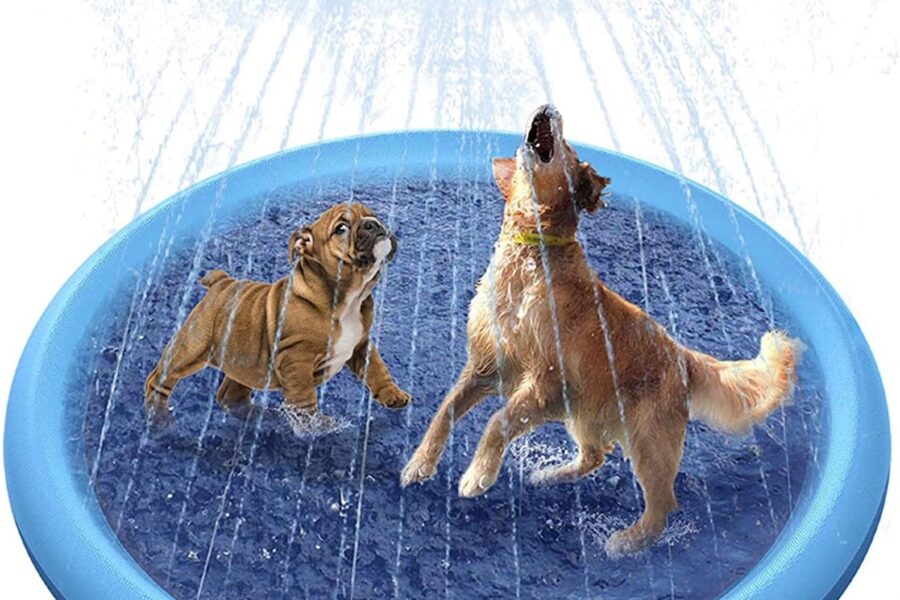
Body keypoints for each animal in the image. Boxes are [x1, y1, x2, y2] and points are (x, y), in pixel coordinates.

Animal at [142, 204, 410, 428]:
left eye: (372, 214)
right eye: (341, 228)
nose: (373, 223)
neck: (348, 298)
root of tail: (221, 282)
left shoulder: (361, 344)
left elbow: (376, 370)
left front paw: (393, 395)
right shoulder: (296, 358)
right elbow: (303, 395)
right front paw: (313, 427)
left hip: (246, 361)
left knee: (230, 395)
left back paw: (257, 415)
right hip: (191, 347)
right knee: (160, 378)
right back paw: (158, 418)